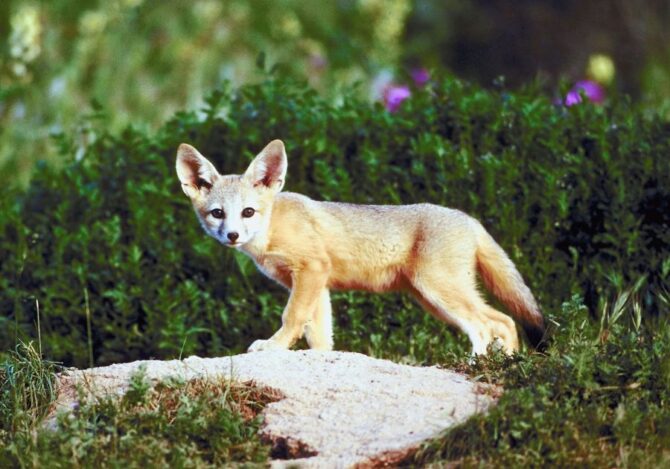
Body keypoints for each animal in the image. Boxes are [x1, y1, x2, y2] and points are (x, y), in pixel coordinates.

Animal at [176, 140, 545, 356]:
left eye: (248, 212)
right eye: (218, 213)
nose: (232, 235)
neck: (274, 228)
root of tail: (468, 218)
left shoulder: (311, 271)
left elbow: (291, 318)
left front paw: (273, 346)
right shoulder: (317, 284)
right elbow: (318, 335)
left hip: (439, 291)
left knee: (487, 325)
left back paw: (478, 365)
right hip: (432, 300)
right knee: (505, 322)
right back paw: (508, 363)